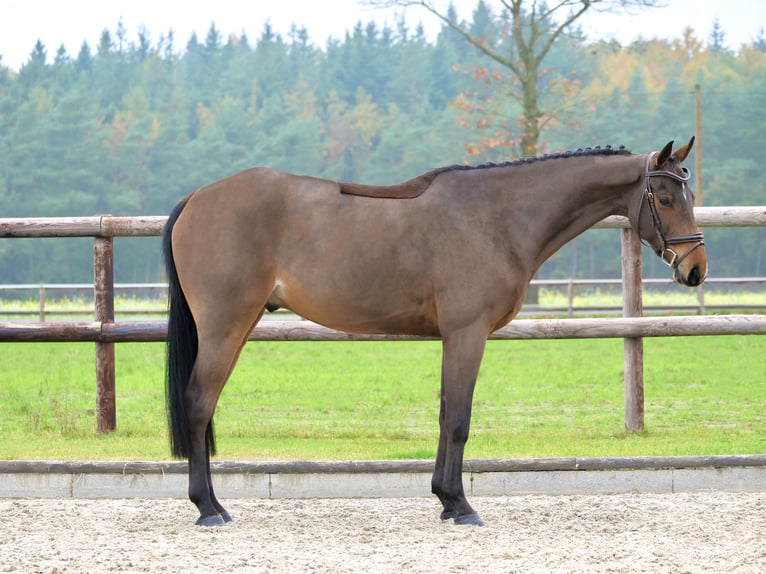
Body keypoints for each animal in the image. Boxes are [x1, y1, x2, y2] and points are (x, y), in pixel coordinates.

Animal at [162, 137, 708, 528]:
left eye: (690, 194)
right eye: (664, 197)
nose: (696, 269)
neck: (496, 217)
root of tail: (197, 198)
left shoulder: (454, 337)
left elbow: (446, 413)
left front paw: (445, 500)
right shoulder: (468, 333)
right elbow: (460, 418)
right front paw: (461, 506)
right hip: (225, 326)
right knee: (199, 403)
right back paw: (208, 509)